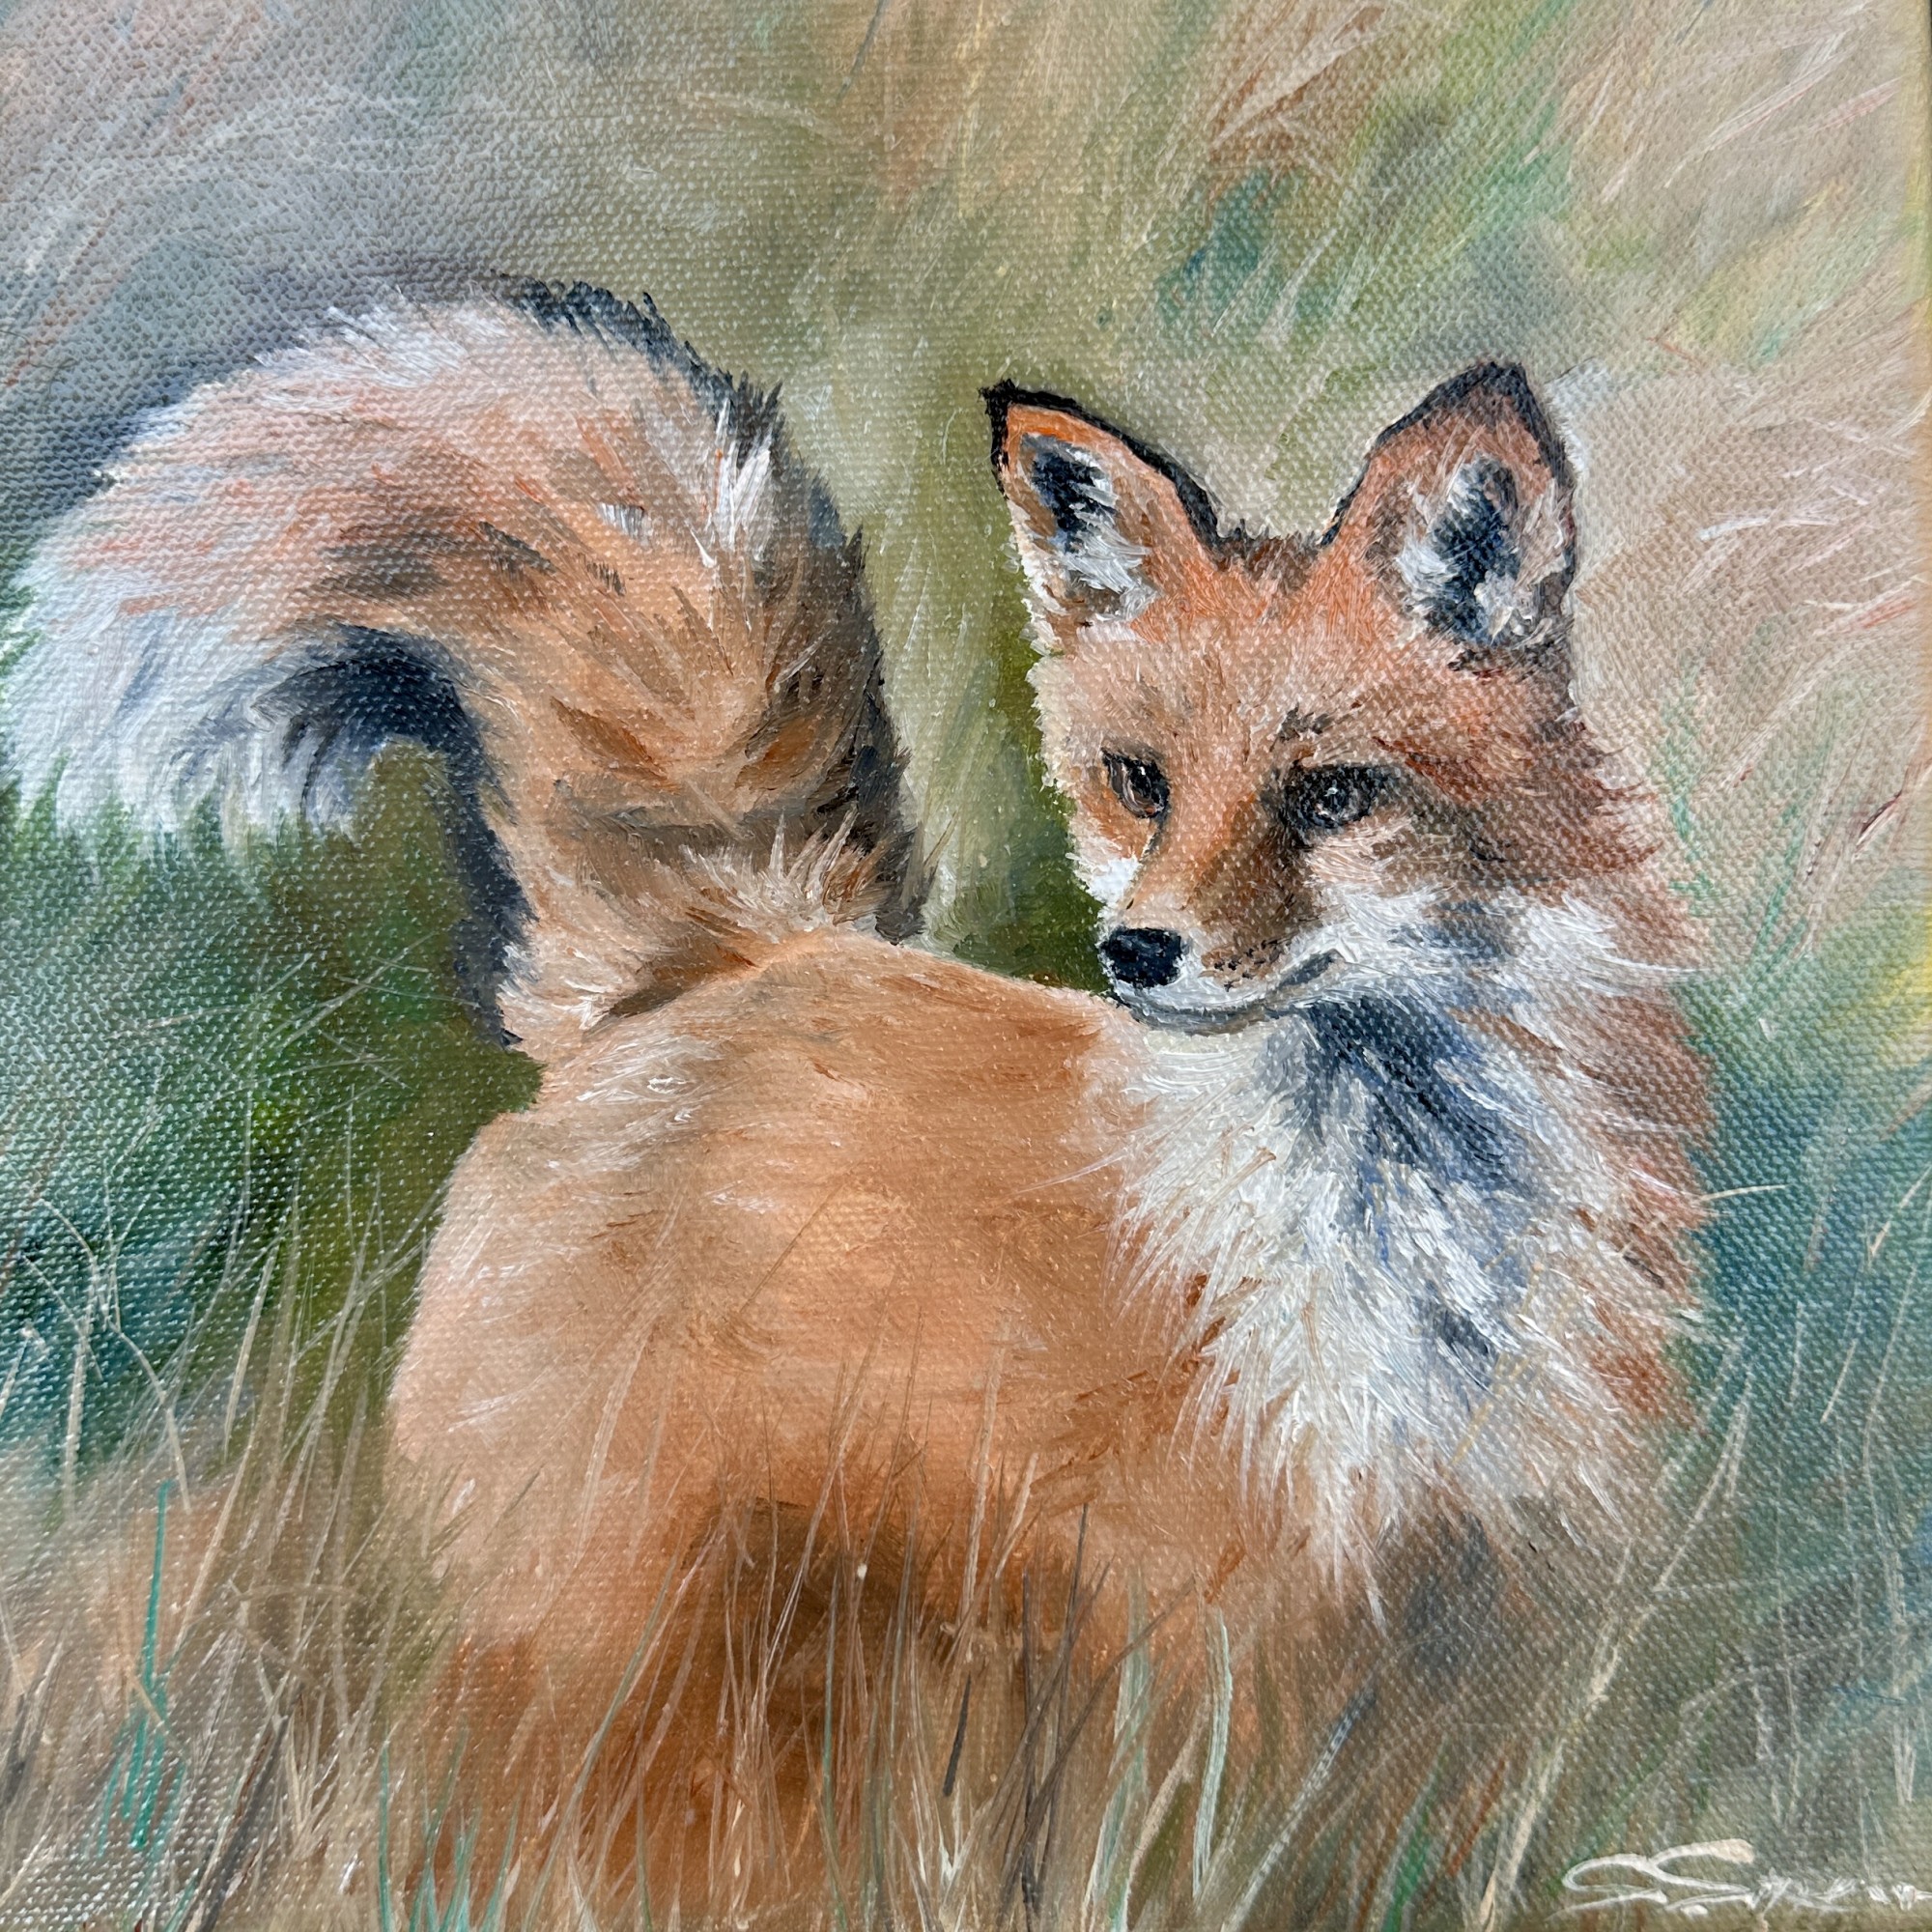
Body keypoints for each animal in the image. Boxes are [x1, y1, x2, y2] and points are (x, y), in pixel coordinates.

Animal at [3, 283, 1704, 1919]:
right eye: (1140, 783)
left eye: (1335, 796)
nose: (1137, 952)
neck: (1408, 1239)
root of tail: (740, 952)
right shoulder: (1203, 1627)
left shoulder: (1487, 1626)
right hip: (607, 1633)